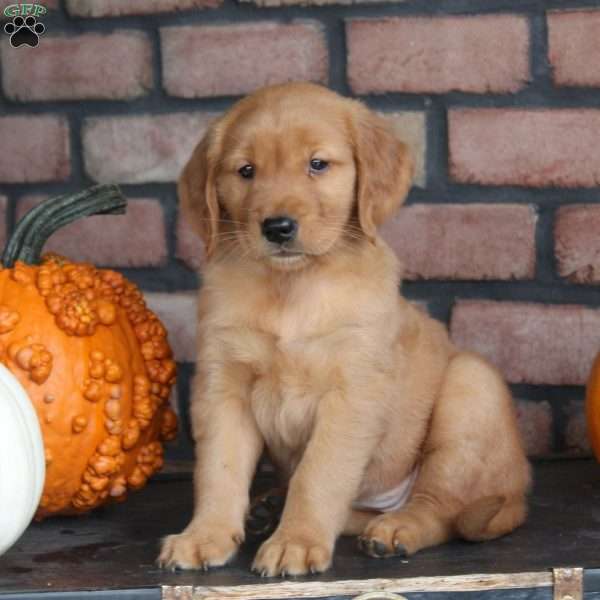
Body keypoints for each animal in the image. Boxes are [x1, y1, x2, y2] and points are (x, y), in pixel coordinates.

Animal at [159, 81, 528, 576]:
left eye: (318, 164)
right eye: (246, 171)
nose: (277, 227)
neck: (293, 287)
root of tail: (517, 493)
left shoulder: (351, 391)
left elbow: (319, 474)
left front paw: (295, 542)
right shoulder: (223, 387)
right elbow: (219, 470)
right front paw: (205, 536)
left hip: (471, 388)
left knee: (441, 509)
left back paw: (396, 529)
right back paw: (270, 509)